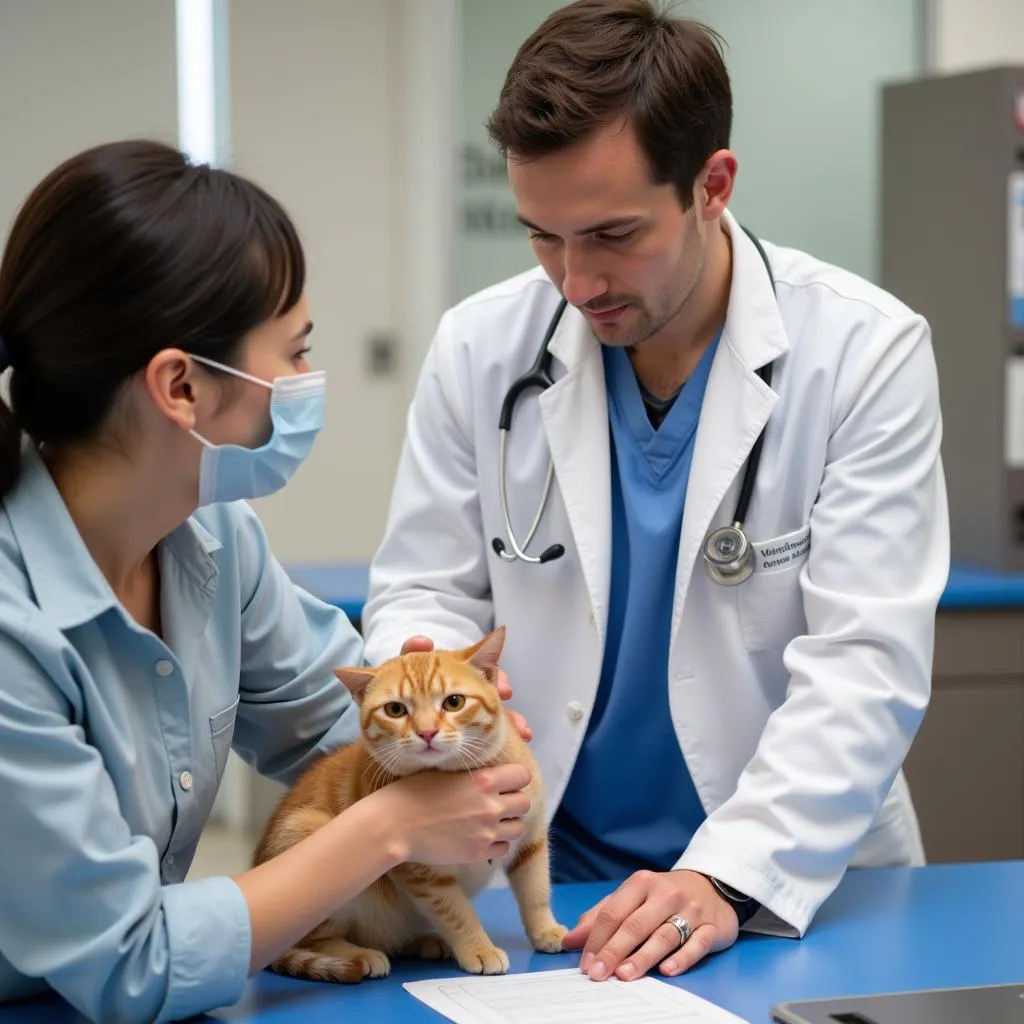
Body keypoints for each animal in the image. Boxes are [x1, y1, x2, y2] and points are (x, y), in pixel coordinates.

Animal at [249, 622, 569, 983]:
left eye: (454, 702)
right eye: (395, 709)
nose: (427, 732)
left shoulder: (532, 839)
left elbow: (536, 890)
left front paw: (545, 929)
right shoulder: (423, 873)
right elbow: (456, 912)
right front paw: (478, 947)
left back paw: (424, 941)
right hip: (307, 836)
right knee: (314, 940)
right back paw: (360, 953)